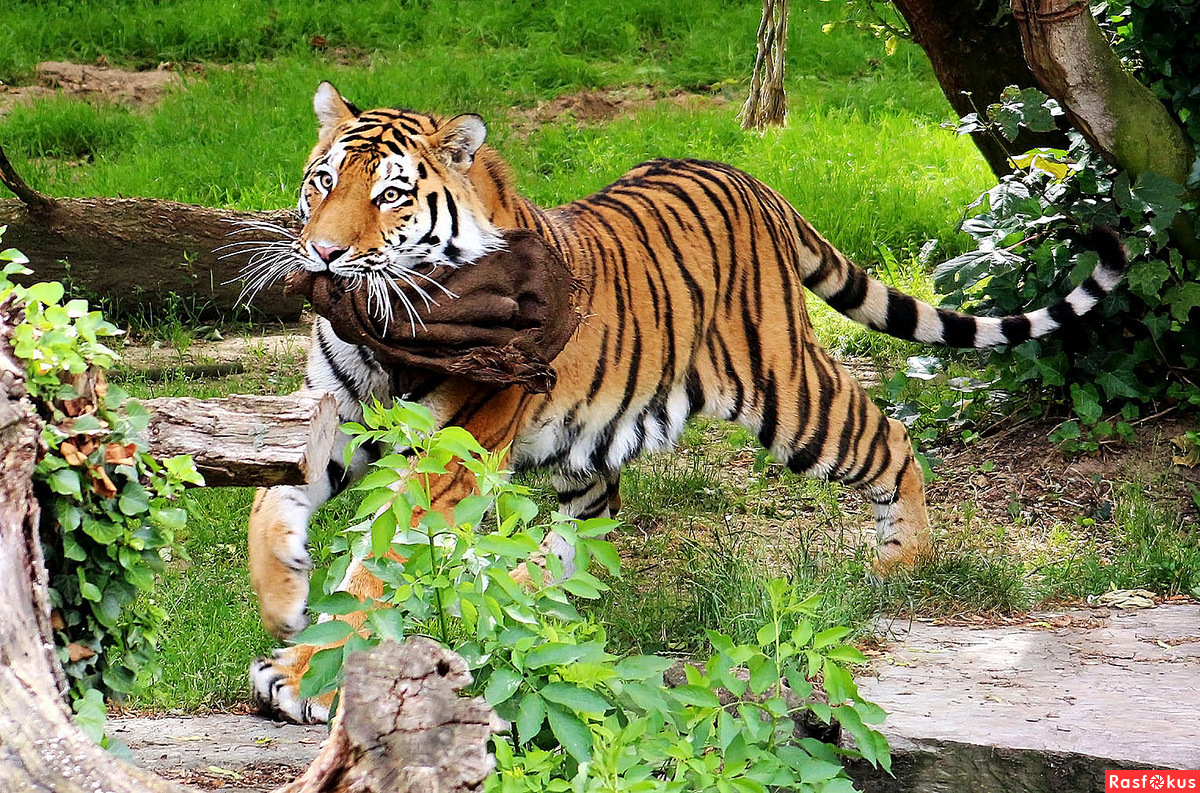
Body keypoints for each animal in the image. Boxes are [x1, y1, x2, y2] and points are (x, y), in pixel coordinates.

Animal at [243, 82, 1123, 724]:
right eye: (323, 182)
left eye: (391, 196)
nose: (322, 252)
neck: (382, 334)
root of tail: (751, 178)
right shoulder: (325, 414)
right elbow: (267, 503)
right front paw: (287, 599)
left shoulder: (453, 449)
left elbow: (373, 571)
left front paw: (307, 671)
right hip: (589, 448)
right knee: (586, 528)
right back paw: (541, 600)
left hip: (791, 396)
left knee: (890, 435)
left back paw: (901, 558)